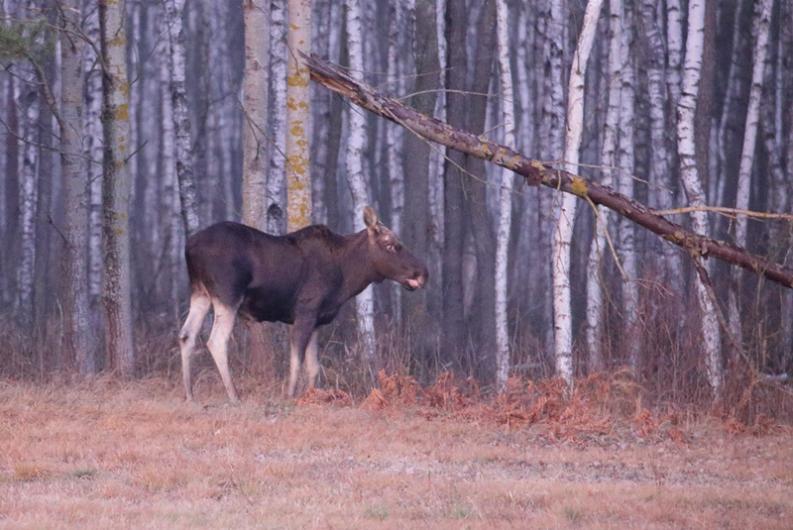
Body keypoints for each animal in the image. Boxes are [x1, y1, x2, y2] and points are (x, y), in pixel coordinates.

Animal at [178, 206, 426, 400]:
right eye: (391, 244)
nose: (423, 272)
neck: (347, 274)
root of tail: (188, 247)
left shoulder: (317, 320)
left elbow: (313, 367)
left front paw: (311, 396)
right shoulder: (306, 312)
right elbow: (296, 361)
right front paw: (290, 396)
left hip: (200, 293)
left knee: (186, 335)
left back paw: (190, 395)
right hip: (228, 295)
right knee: (216, 341)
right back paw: (234, 396)